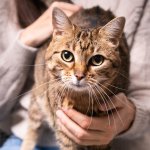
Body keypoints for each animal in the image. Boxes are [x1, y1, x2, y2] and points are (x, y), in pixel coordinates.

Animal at [20, 4, 129, 150]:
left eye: (97, 60)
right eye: (66, 55)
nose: (79, 75)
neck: (81, 100)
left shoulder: (104, 140)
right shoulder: (64, 133)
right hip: (38, 96)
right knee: (33, 124)